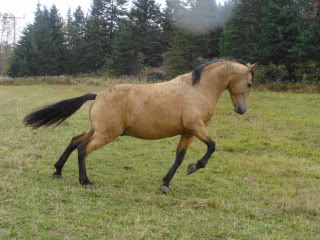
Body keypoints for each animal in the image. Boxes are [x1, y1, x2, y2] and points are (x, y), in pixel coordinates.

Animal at [23, 59, 256, 193]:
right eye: (249, 83)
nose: (242, 110)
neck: (197, 90)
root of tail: (98, 95)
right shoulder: (196, 127)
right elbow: (212, 146)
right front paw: (194, 167)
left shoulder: (188, 132)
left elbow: (179, 157)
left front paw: (165, 184)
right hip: (106, 134)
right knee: (82, 149)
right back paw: (85, 181)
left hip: (96, 130)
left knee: (74, 141)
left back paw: (58, 171)